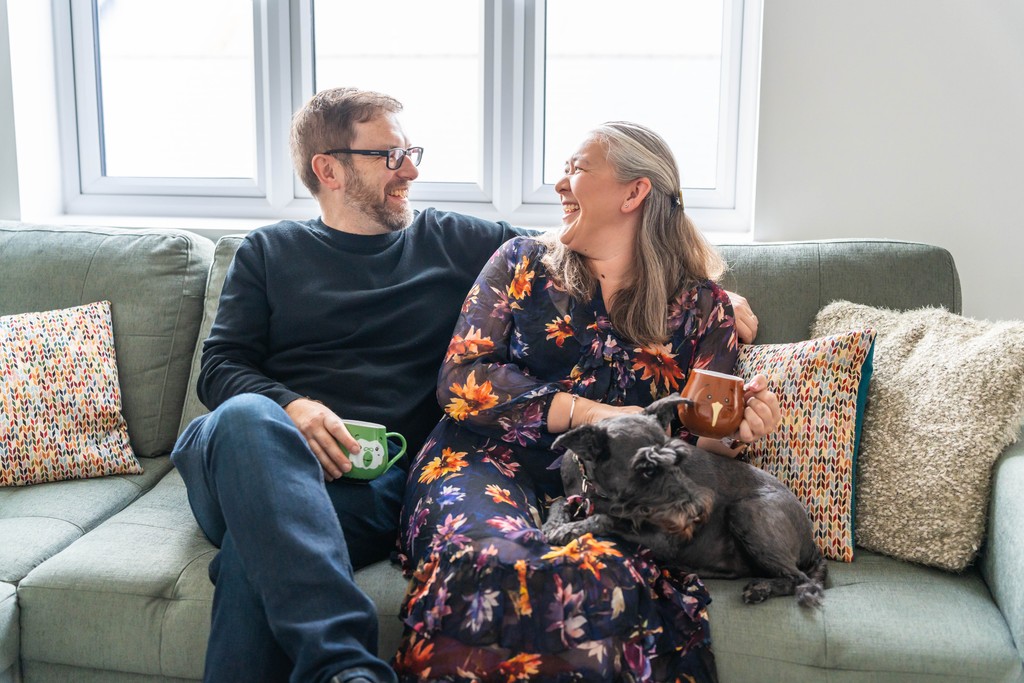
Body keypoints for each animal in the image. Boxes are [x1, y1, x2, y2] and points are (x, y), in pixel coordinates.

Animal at [544, 393, 823, 606]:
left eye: (678, 457)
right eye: (646, 468)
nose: (698, 511)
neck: (598, 489)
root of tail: (811, 543)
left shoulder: (663, 538)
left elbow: (607, 518)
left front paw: (570, 529)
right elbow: (559, 501)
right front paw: (554, 524)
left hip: (747, 513)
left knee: (801, 579)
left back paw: (761, 589)